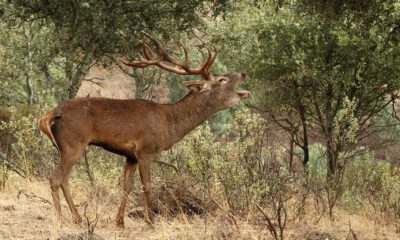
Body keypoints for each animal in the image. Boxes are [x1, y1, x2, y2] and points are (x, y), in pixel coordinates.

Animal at [38, 33, 250, 227]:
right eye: (222, 79)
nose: (243, 73)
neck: (168, 124)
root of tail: (51, 114)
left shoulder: (130, 155)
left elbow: (126, 186)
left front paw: (119, 220)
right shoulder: (145, 150)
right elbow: (147, 186)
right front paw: (150, 220)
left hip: (68, 147)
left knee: (63, 179)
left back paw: (77, 218)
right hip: (72, 144)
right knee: (55, 178)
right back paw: (62, 218)